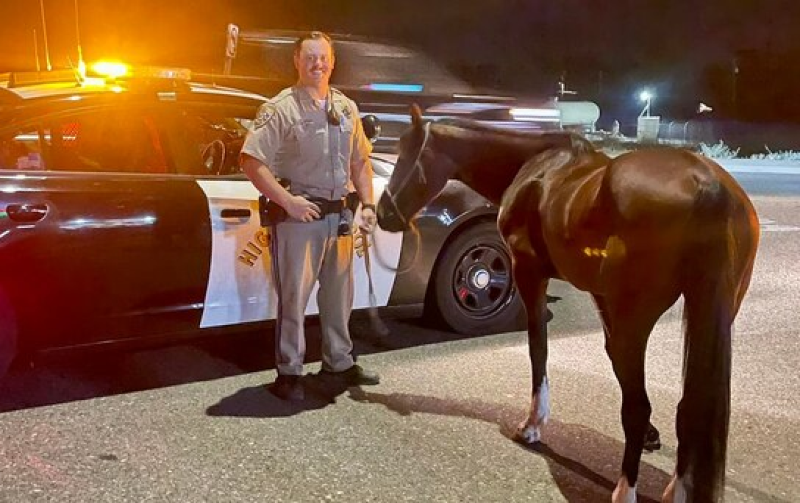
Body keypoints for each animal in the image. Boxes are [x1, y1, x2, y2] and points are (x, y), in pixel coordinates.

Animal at [376, 105, 759, 502]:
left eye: (407, 153)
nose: (383, 212)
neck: (534, 166)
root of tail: (707, 186)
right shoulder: (600, 295)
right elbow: (612, 358)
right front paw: (652, 436)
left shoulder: (528, 273)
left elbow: (538, 349)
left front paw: (533, 424)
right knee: (688, 408)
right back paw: (675, 487)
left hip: (636, 316)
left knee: (639, 407)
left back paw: (626, 489)